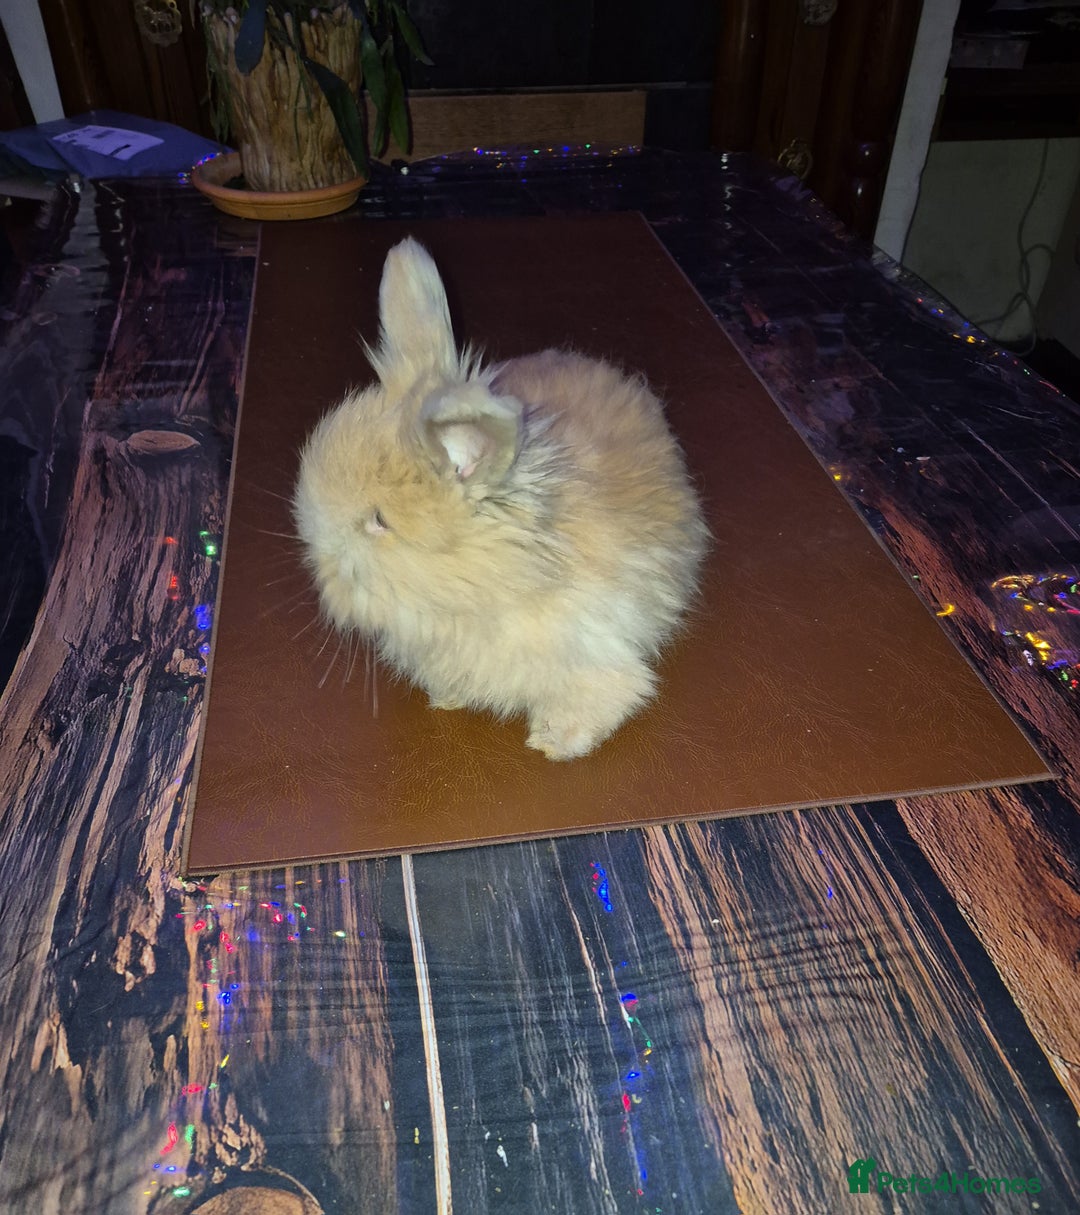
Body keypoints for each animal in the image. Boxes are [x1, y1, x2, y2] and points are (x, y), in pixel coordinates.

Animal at [293, 237, 708, 760]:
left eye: (380, 520)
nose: (317, 562)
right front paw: (446, 698)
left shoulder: (594, 652)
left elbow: (610, 693)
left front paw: (554, 742)